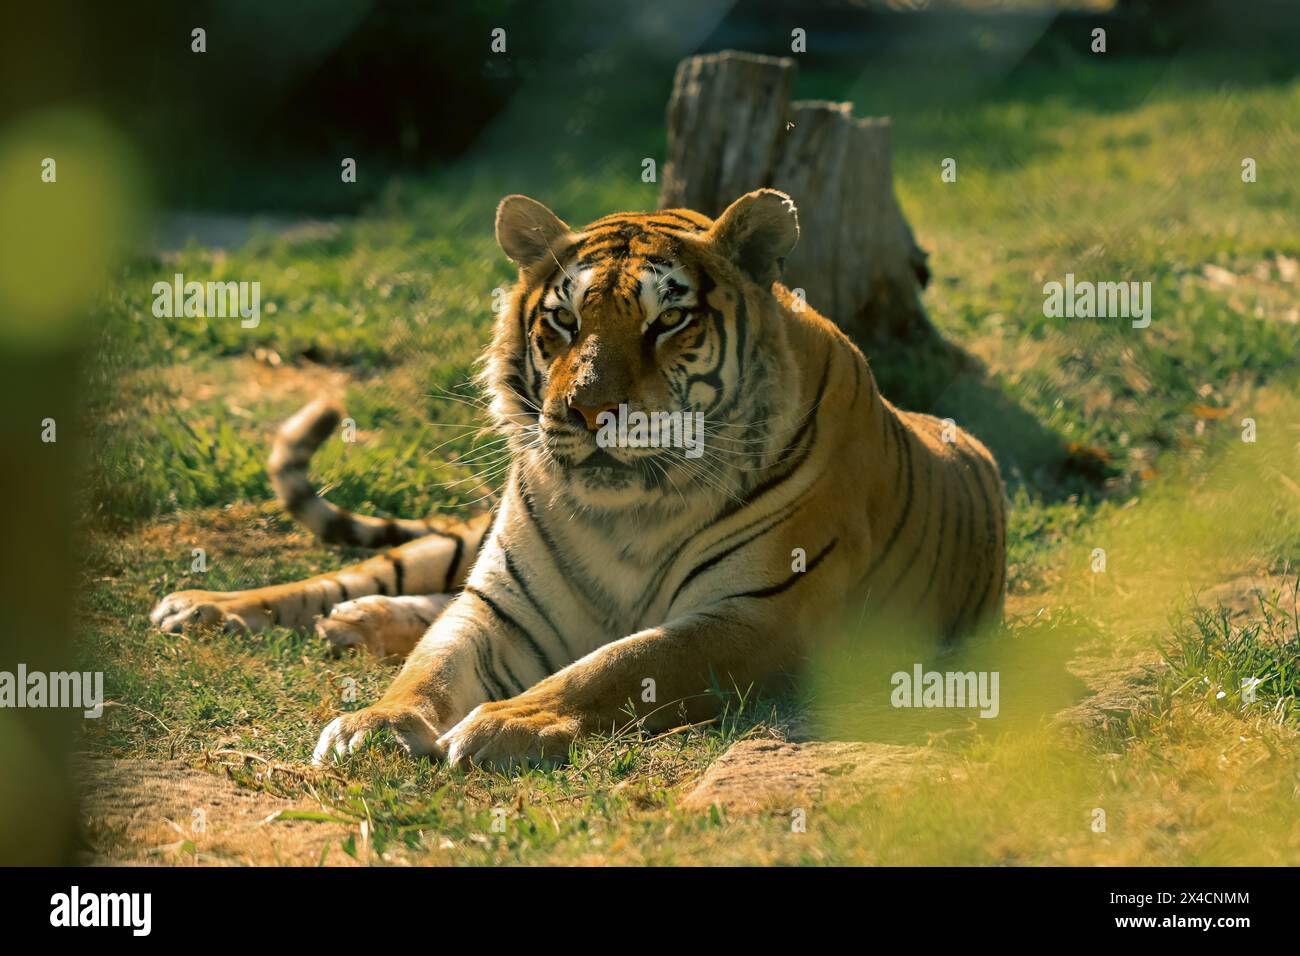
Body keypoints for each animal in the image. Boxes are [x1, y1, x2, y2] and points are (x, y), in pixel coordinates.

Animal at [149, 188, 1003, 770]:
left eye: (669, 321)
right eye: (563, 321)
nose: (588, 409)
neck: (629, 513)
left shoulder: (762, 615)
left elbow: (615, 665)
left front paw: (503, 724)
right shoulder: (503, 604)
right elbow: (433, 663)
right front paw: (374, 726)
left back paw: (358, 623)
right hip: (459, 547)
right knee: (373, 578)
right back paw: (215, 608)